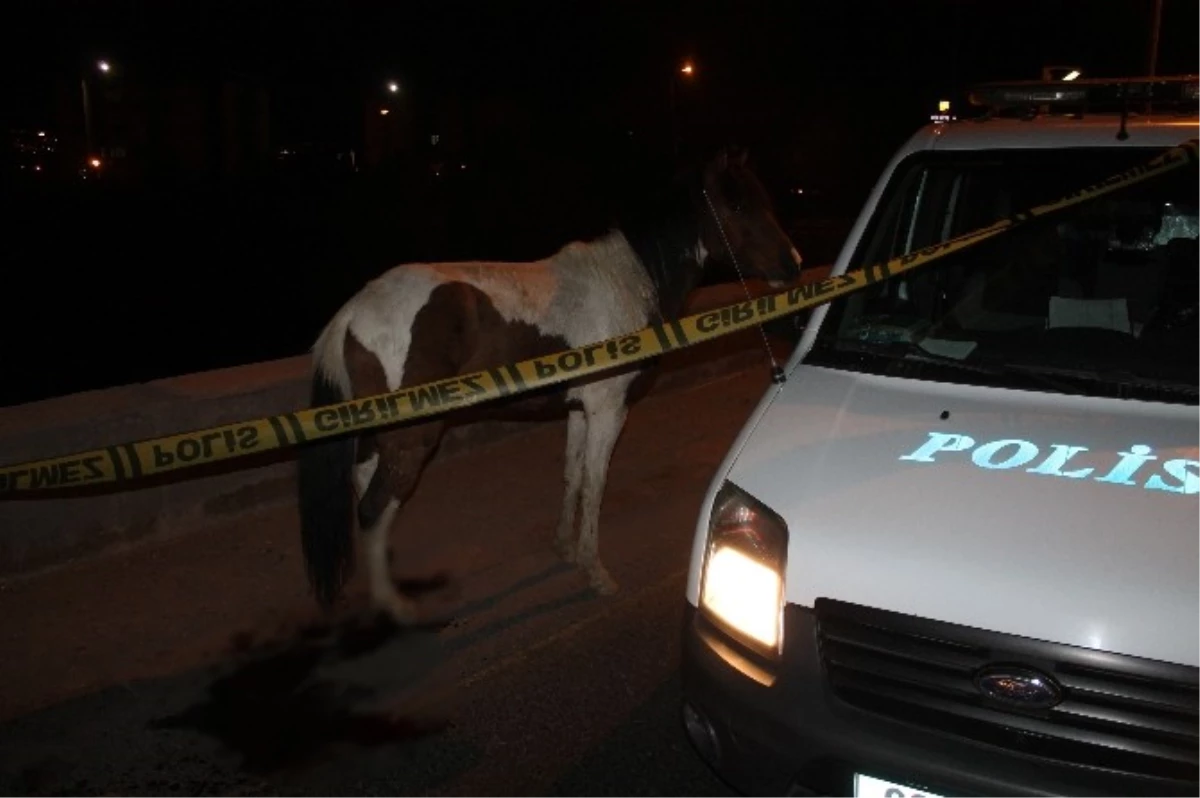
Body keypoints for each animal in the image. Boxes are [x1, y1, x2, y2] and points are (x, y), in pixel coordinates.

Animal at [297, 146, 806, 624]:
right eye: (737, 205)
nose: (795, 264)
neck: (628, 281)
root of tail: (350, 313)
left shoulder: (580, 409)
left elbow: (573, 475)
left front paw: (564, 546)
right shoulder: (607, 410)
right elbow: (595, 485)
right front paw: (594, 570)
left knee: (366, 489)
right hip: (411, 435)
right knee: (372, 507)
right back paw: (393, 606)